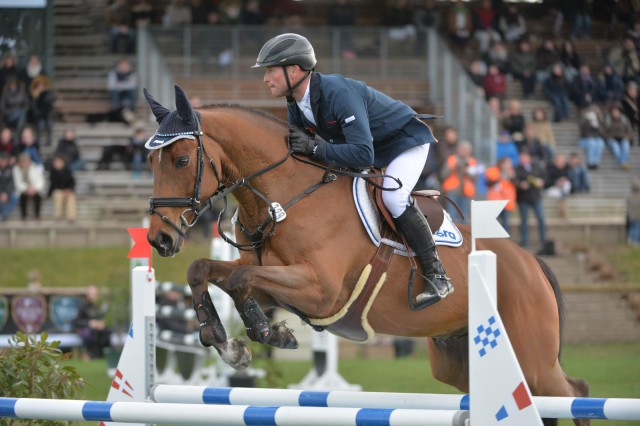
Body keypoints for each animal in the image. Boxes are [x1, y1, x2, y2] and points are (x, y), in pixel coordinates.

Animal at [145, 86, 592, 426]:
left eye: (181, 160)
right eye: (149, 160)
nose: (159, 239)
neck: (282, 197)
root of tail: (531, 263)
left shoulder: (321, 291)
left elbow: (239, 282)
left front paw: (267, 334)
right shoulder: (272, 279)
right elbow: (204, 270)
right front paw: (223, 341)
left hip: (531, 360)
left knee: (574, 392)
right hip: (458, 360)